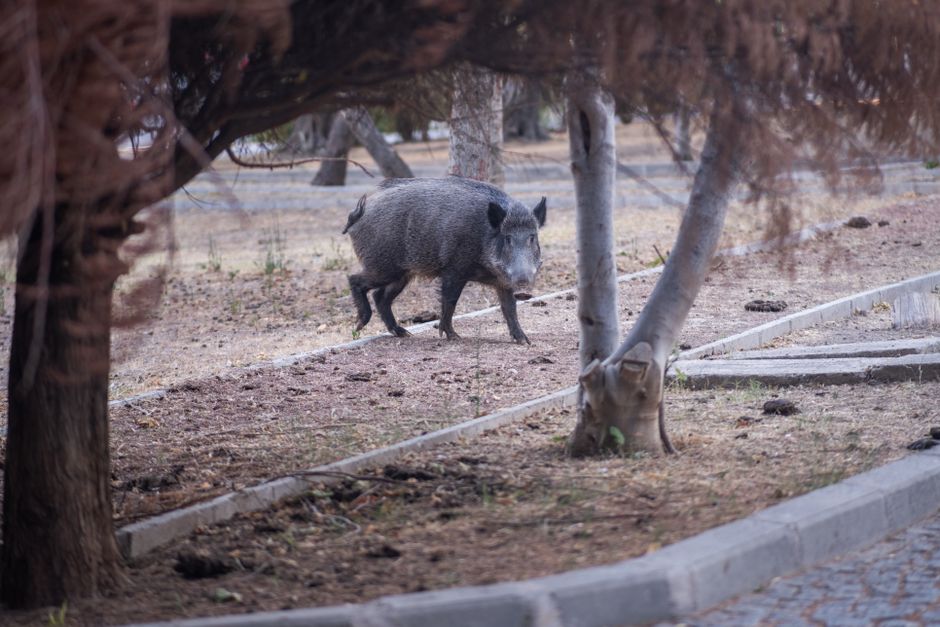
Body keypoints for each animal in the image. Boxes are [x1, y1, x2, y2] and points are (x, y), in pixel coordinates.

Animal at [343, 176, 547, 343]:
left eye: (533, 237)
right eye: (507, 238)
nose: (523, 281)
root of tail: (358, 214)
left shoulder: (502, 281)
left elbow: (509, 308)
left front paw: (525, 341)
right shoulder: (454, 269)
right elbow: (450, 301)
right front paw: (454, 337)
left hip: (402, 274)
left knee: (380, 297)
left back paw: (404, 333)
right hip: (383, 267)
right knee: (355, 280)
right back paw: (360, 324)